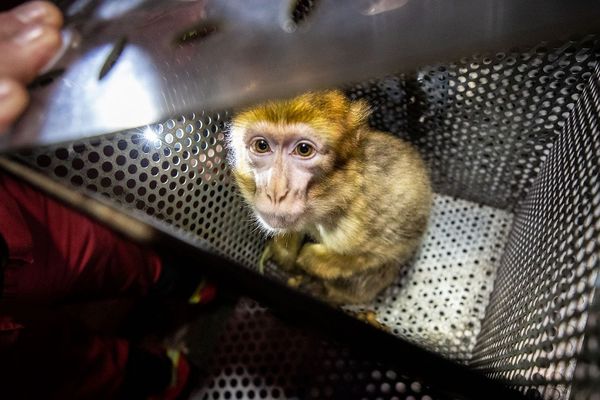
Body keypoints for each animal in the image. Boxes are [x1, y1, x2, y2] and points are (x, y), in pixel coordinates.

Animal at [226, 90, 432, 304]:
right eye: (262, 145)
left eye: (304, 149)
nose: (276, 192)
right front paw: (285, 253)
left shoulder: (358, 224)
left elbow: (378, 254)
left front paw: (309, 258)